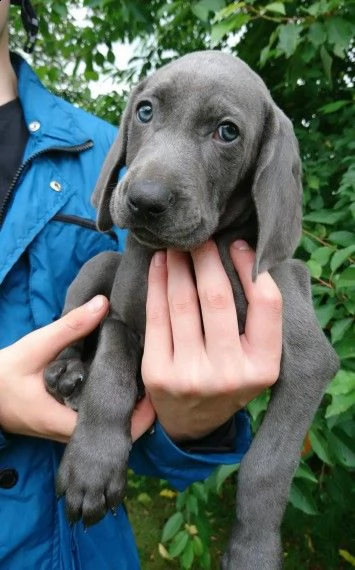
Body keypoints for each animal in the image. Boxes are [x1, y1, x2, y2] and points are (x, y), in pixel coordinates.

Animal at [45, 50, 340, 568]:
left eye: (227, 132)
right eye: (144, 112)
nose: (144, 200)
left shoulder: (309, 362)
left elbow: (267, 467)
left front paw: (253, 550)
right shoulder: (122, 320)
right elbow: (110, 381)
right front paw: (91, 468)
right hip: (102, 263)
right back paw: (68, 373)